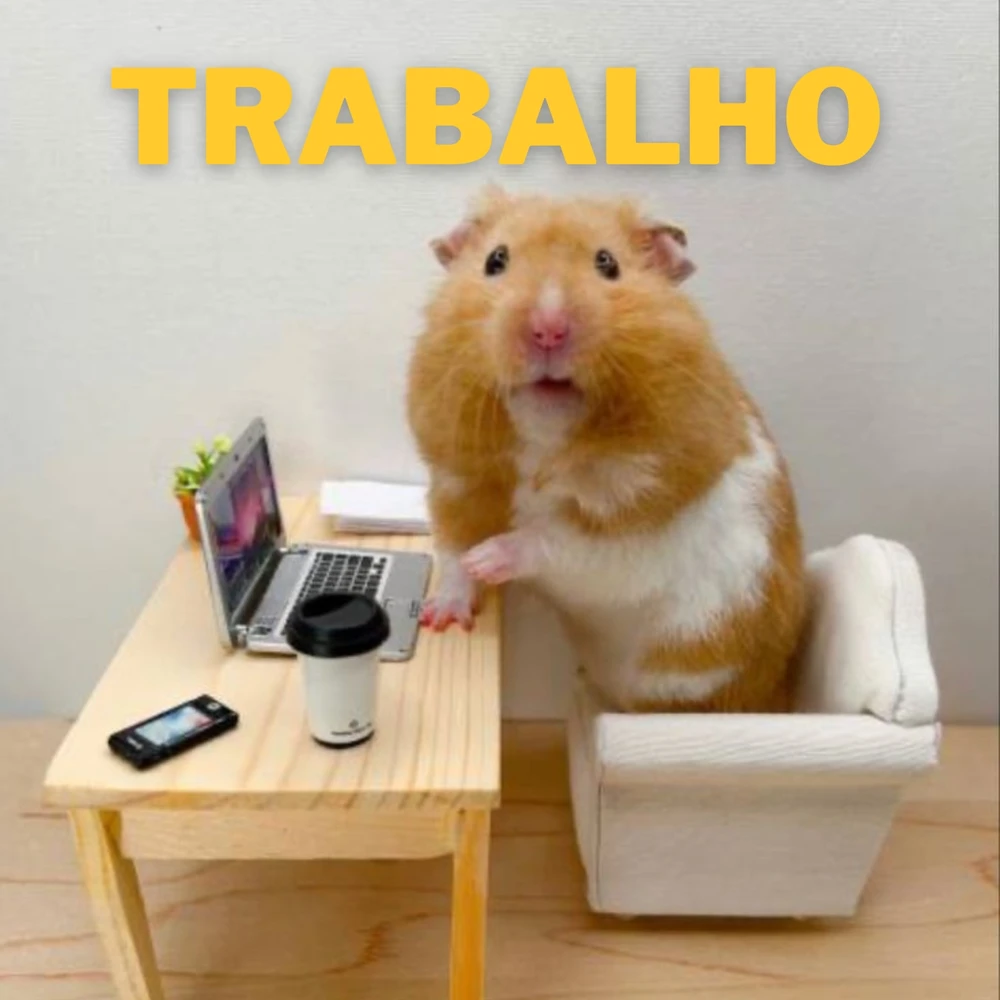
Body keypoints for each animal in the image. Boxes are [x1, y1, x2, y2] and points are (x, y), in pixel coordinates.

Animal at [406, 186, 805, 713]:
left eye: (608, 264)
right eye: (495, 260)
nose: (548, 329)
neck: (543, 438)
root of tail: (771, 691)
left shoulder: (629, 534)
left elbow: (553, 541)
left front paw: (489, 558)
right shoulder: (458, 483)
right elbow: (452, 551)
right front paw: (444, 615)